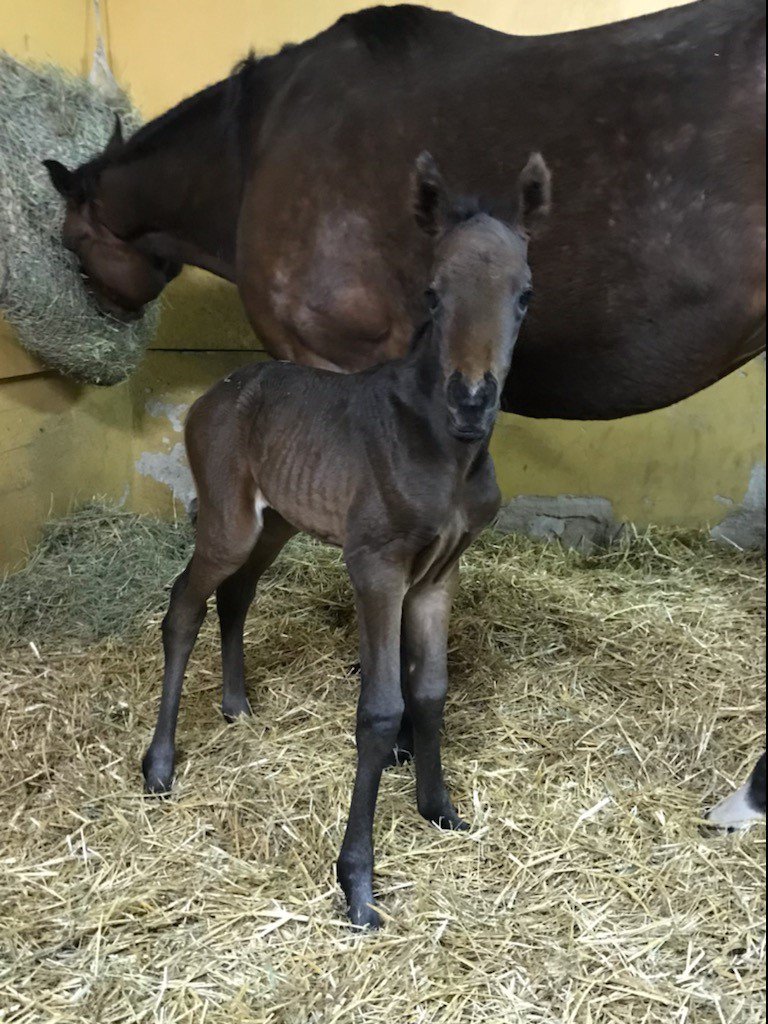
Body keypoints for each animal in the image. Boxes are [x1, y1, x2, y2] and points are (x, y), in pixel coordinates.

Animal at [143, 151, 552, 929]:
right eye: (432, 294)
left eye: (523, 295)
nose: (471, 400)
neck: (446, 452)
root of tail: (216, 392)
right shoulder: (377, 567)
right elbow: (382, 707)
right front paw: (357, 880)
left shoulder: (438, 576)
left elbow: (432, 690)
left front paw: (437, 807)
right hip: (231, 523)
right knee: (184, 603)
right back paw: (158, 765)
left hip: (276, 523)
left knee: (236, 597)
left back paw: (237, 706)